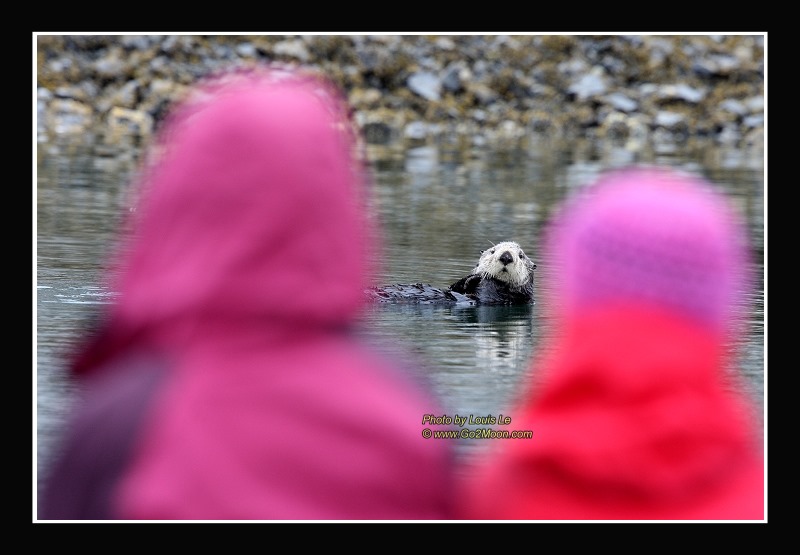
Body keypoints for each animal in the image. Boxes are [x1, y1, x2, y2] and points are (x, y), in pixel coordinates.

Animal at [368, 241, 536, 306]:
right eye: (493, 251)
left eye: (521, 255)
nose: (506, 256)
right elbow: (454, 287)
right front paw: (471, 278)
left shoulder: (504, 299)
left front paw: (475, 279)